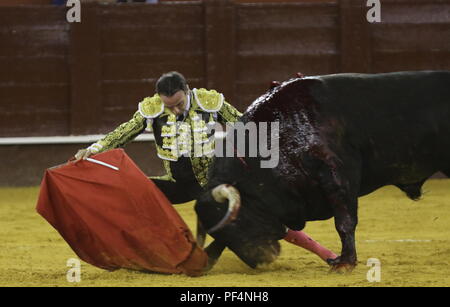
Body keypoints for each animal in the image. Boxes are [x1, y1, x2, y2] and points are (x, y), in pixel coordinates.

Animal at [194, 70, 450, 272]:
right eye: (219, 231)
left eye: (238, 222)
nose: (261, 261)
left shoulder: (337, 174)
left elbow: (345, 222)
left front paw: (345, 263)